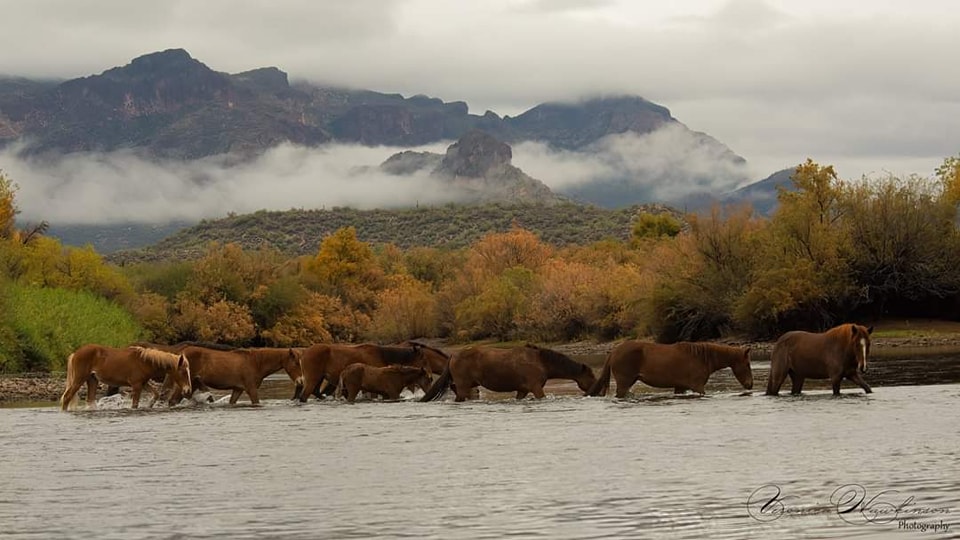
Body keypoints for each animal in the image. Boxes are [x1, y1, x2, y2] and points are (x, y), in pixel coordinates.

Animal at [59, 345, 192, 410]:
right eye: (183, 372)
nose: (188, 390)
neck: (144, 361)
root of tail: (75, 353)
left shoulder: (143, 383)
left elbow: (155, 394)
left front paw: (149, 406)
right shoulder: (136, 385)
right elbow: (135, 404)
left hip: (92, 380)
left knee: (90, 401)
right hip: (79, 379)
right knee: (67, 397)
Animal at [173, 346, 303, 405]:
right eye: (296, 363)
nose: (301, 381)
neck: (256, 363)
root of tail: (180, 354)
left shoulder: (238, 389)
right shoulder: (251, 389)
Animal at [298, 342, 439, 402]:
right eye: (425, 360)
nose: (431, 377)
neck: (383, 356)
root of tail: (303, 353)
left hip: (319, 378)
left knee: (316, 393)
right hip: (312, 378)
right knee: (304, 396)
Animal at [420, 343, 597, 402]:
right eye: (591, 376)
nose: (597, 390)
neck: (541, 362)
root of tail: (453, 355)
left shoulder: (522, 390)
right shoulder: (536, 388)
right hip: (463, 387)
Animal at [586, 341, 753, 398]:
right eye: (747, 364)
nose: (750, 385)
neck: (702, 357)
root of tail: (614, 351)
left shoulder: (680, 387)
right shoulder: (698, 386)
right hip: (624, 382)